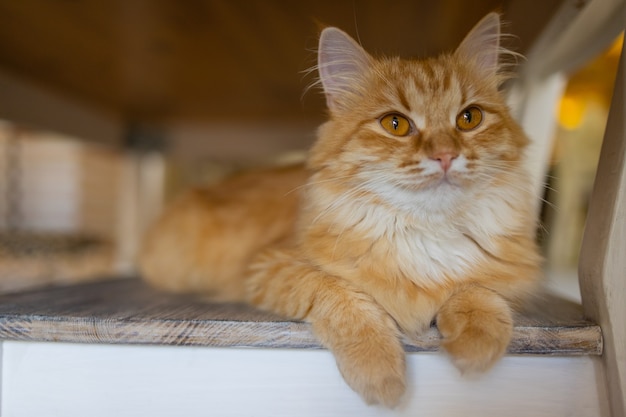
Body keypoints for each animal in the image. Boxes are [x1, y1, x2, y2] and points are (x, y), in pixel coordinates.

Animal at [139, 13, 540, 406]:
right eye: (396, 124)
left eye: (469, 118)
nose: (445, 155)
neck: (425, 230)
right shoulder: (271, 265)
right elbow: (343, 298)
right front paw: (380, 373)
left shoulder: (502, 272)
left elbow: (478, 290)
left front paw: (476, 346)